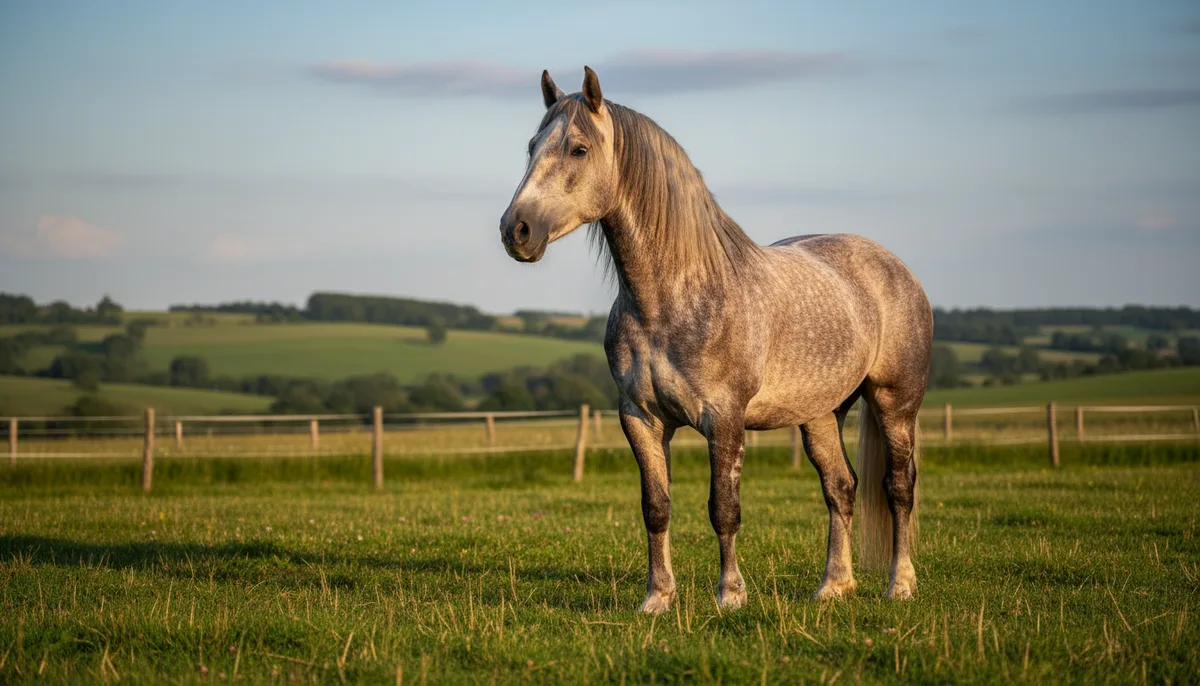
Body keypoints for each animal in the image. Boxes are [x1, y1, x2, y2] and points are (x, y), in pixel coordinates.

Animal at [497, 66, 933, 613]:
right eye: (532, 145)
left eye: (578, 149)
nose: (516, 230)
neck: (673, 298)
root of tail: (892, 265)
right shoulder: (640, 419)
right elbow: (656, 507)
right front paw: (658, 597)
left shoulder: (724, 419)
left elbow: (724, 508)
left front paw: (730, 594)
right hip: (820, 414)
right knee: (841, 487)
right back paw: (834, 585)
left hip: (895, 402)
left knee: (898, 488)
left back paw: (902, 584)